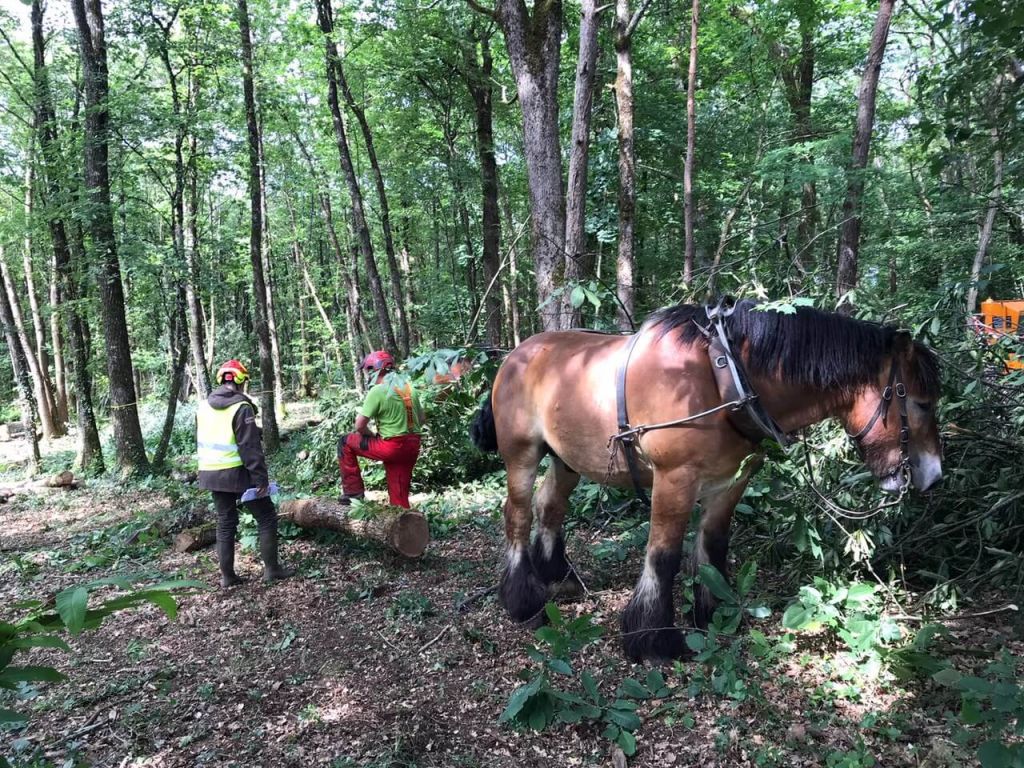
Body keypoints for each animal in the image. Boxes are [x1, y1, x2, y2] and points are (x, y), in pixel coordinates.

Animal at [468, 299, 937, 663]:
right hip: (522, 454)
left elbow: (712, 548)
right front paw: (653, 637)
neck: (722, 377)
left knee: (550, 507)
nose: (932, 477)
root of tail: (515, 354)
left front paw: (714, 613)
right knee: (518, 514)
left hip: (567, 459)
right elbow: (664, 557)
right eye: (919, 401)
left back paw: (558, 577)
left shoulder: (730, 481)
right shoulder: (674, 479)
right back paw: (522, 599)